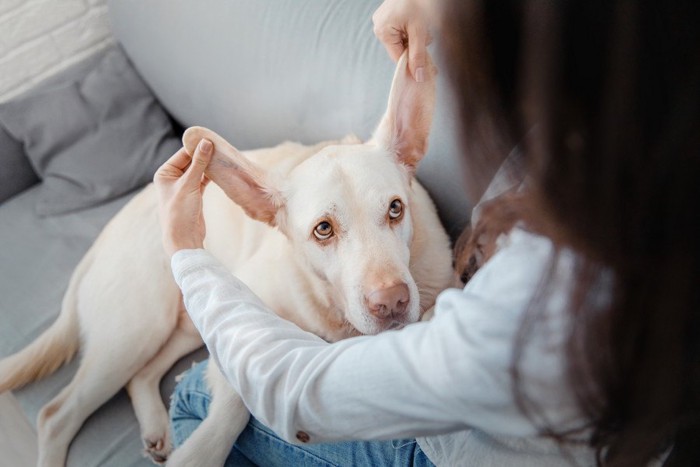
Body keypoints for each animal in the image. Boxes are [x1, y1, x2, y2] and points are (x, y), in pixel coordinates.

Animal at [0, 53, 454, 467]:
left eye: (395, 209)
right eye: (323, 229)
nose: (391, 302)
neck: (331, 309)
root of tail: (99, 242)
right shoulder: (241, 308)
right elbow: (236, 398)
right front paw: (199, 453)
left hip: (179, 324)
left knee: (139, 376)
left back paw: (156, 427)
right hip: (135, 330)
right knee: (54, 415)